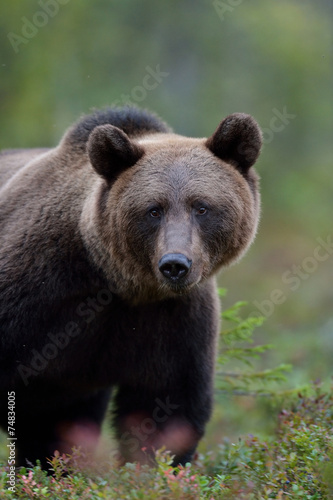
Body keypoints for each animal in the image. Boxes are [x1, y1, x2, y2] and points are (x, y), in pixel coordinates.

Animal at [0, 105, 260, 468]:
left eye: (202, 207)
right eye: (153, 210)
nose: (175, 264)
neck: (121, 284)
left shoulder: (172, 321)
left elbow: (165, 406)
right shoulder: (36, 292)